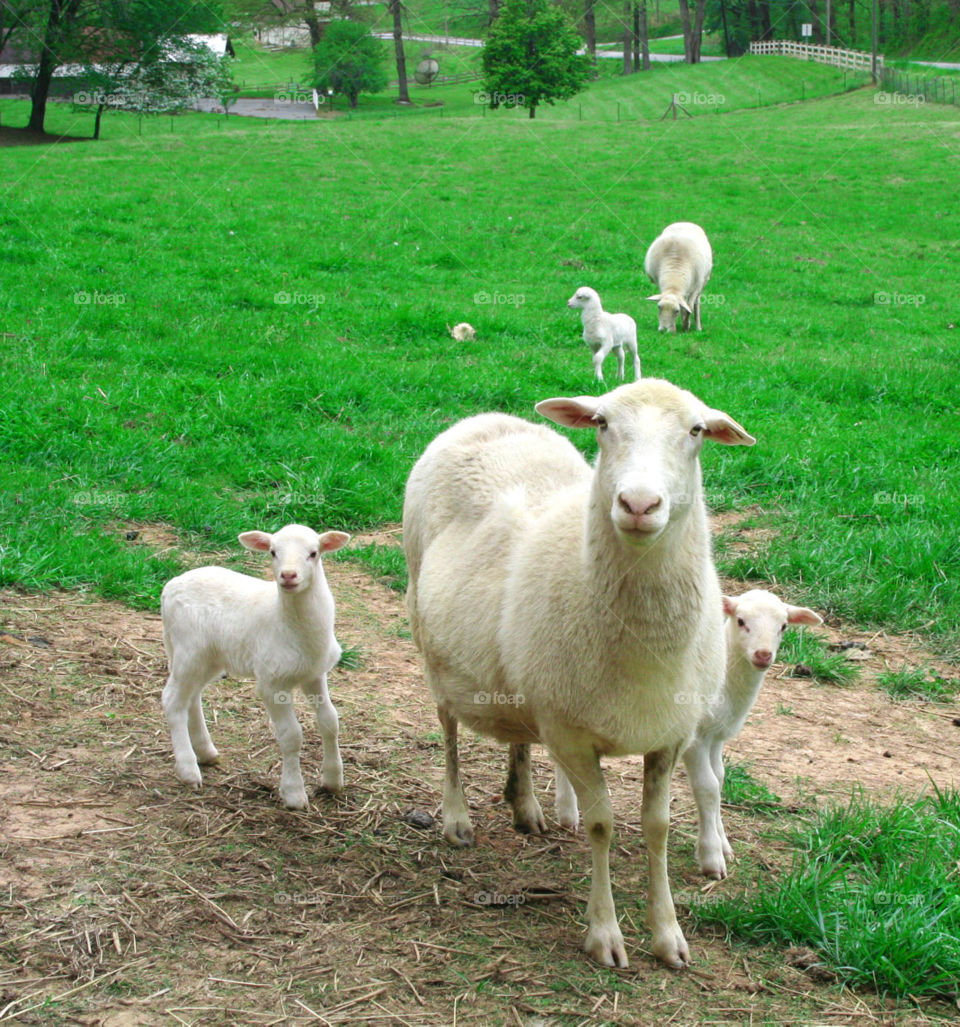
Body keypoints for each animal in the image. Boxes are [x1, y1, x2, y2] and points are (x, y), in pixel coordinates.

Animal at [160, 523, 350, 810]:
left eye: (313, 553)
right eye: (272, 552)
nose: (288, 575)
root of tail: (169, 587)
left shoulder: (315, 674)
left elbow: (330, 721)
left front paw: (332, 780)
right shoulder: (272, 682)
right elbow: (292, 735)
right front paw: (294, 793)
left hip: (208, 657)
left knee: (191, 697)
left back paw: (206, 752)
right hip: (188, 649)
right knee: (172, 700)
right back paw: (188, 770)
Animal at [403, 378, 755, 969]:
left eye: (697, 431)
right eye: (603, 424)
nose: (639, 504)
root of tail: (484, 417)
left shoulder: (669, 734)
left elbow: (657, 828)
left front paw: (668, 936)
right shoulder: (570, 734)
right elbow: (601, 824)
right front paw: (605, 934)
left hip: (522, 673)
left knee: (517, 734)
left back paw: (524, 805)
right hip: (428, 636)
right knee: (448, 729)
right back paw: (456, 819)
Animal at [682, 589, 822, 879]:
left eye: (783, 626)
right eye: (741, 621)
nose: (763, 654)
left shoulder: (716, 735)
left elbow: (719, 780)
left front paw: (724, 845)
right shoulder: (695, 737)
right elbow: (707, 787)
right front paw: (711, 856)